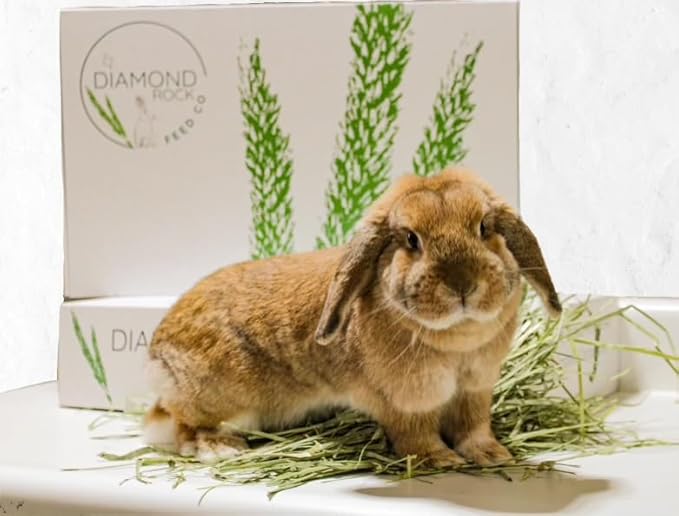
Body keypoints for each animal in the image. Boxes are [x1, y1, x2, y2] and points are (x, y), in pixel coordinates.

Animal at [143, 168, 561, 467]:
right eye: (411, 239)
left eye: (484, 228)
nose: (462, 285)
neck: (456, 339)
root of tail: (157, 355)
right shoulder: (406, 401)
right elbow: (416, 436)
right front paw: (440, 460)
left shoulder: (475, 391)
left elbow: (474, 430)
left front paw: (493, 455)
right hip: (217, 397)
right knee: (183, 426)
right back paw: (221, 448)